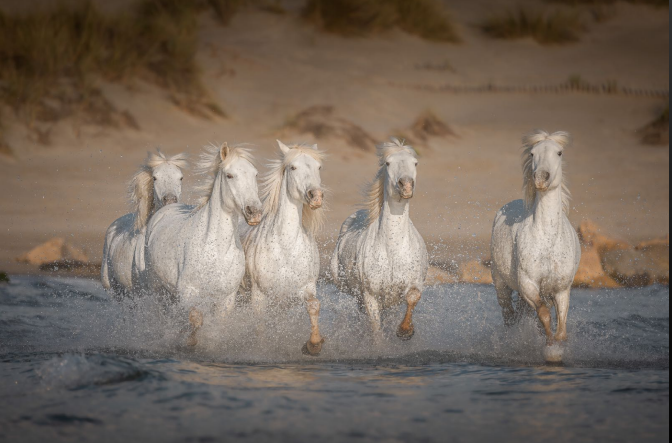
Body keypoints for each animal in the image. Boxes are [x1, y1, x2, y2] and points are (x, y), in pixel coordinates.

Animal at [142, 142, 262, 346]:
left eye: (255, 174)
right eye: (229, 175)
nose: (254, 212)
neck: (215, 249)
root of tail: (167, 207)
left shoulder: (226, 299)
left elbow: (217, 325)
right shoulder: (189, 293)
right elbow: (195, 319)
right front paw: (190, 342)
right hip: (156, 286)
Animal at [240, 141, 326, 358]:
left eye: (318, 167)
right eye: (293, 167)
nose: (316, 196)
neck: (285, 248)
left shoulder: (305, 287)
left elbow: (313, 305)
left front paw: (313, 345)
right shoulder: (259, 295)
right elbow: (259, 324)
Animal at [332, 139, 430, 344]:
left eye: (415, 163)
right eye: (388, 163)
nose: (406, 186)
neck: (392, 249)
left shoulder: (413, 283)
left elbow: (412, 297)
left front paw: (405, 330)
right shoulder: (370, 295)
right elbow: (376, 331)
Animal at [490, 130, 580, 362]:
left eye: (559, 152)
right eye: (532, 153)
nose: (540, 178)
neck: (547, 240)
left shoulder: (561, 289)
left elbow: (561, 327)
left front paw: (557, 348)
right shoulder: (529, 284)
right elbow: (544, 314)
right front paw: (550, 349)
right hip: (501, 284)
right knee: (509, 315)